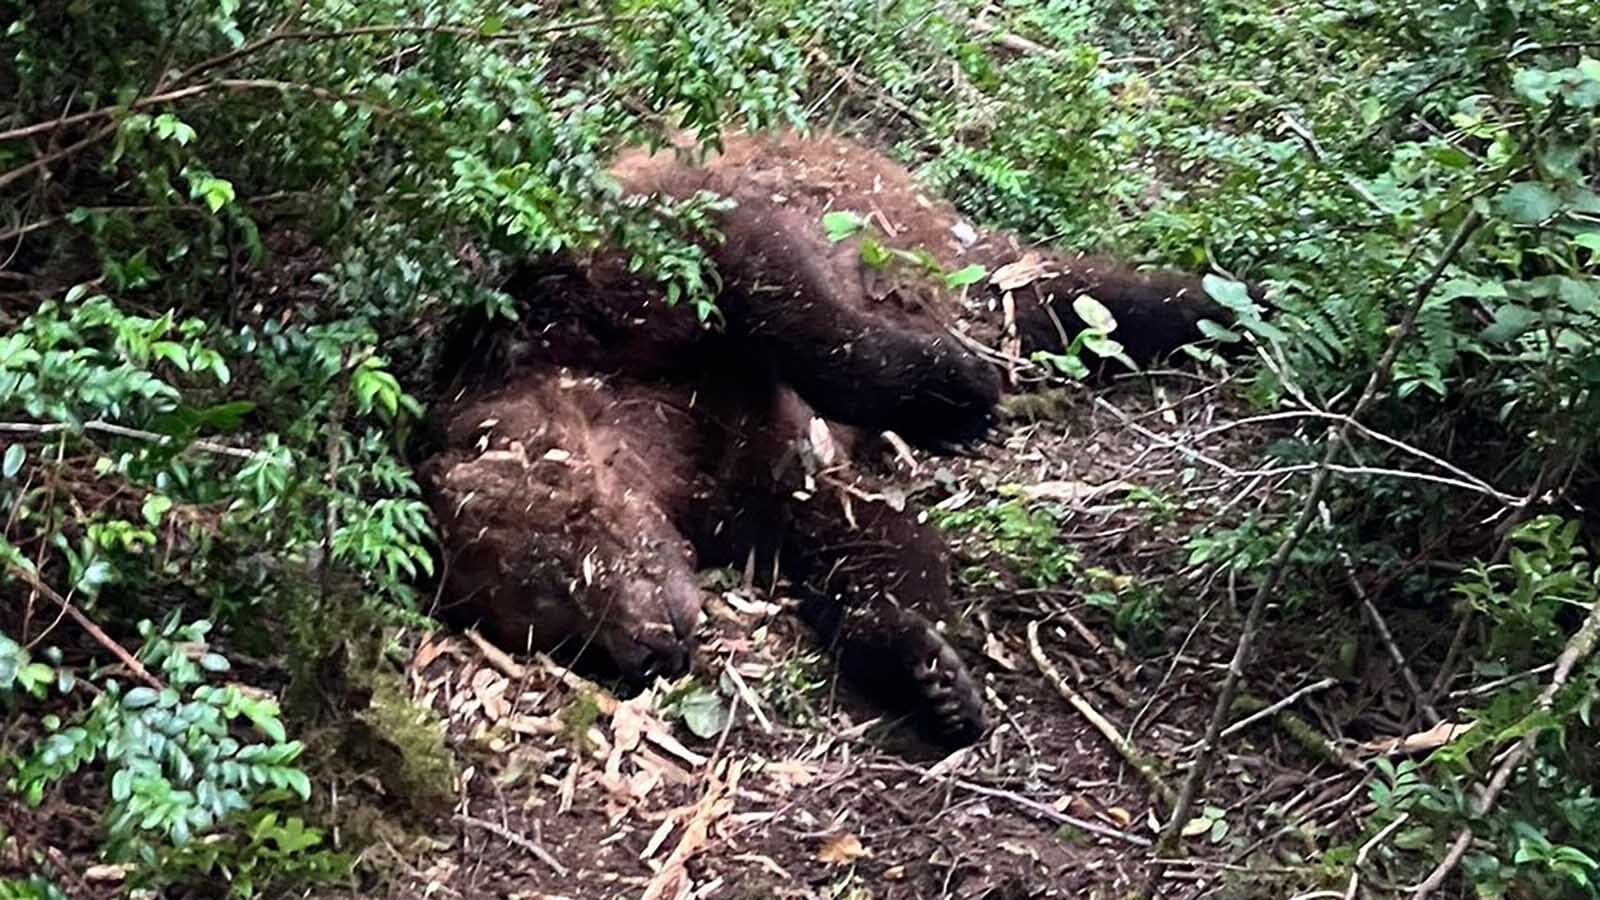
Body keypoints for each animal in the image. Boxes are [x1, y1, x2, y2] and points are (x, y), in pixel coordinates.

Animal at [421, 130, 1243, 746]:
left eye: (564, 571)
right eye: (548, 630)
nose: (652, 649)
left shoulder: (619, 286)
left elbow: (778, 292)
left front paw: (950, 395)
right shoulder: (732, 479)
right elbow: (865, 535)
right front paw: (927, 669)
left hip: (953, 255)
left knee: (1092, 290)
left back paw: (1238, 308)